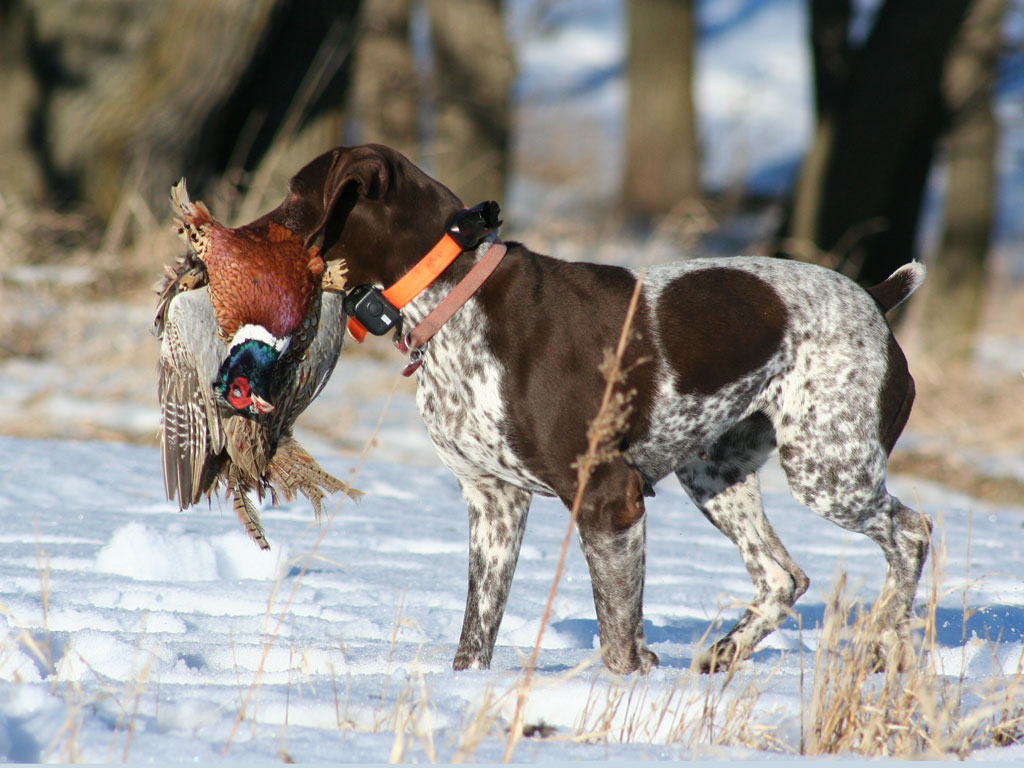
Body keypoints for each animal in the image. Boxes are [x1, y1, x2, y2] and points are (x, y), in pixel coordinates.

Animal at [262, 143, 929, 671]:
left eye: (295, 195)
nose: (244, 232)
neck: (453, 298)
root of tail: (874, 297)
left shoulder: (609, 497)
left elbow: (617, 635)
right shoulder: (494, 502)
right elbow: (477, 632)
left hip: (829, 474)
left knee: (911, 533)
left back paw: (883, 639)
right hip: (716, 474)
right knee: (782, 576)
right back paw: (727, 652)